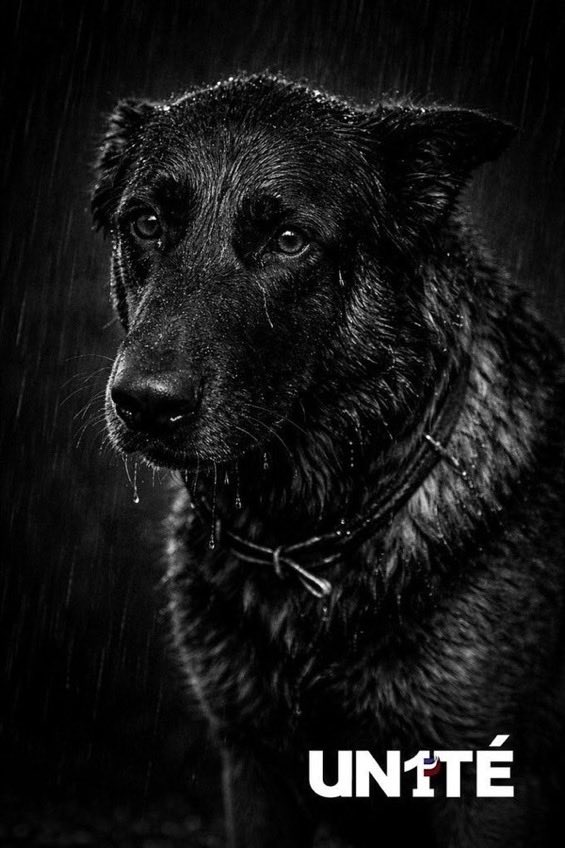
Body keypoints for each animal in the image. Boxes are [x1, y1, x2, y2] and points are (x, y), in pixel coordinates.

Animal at [92, 74, 565, 846]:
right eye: (147, 223)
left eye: (290, 240)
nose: (144, 405)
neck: (304, 533)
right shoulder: (254, 765)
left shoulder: (488, 783)